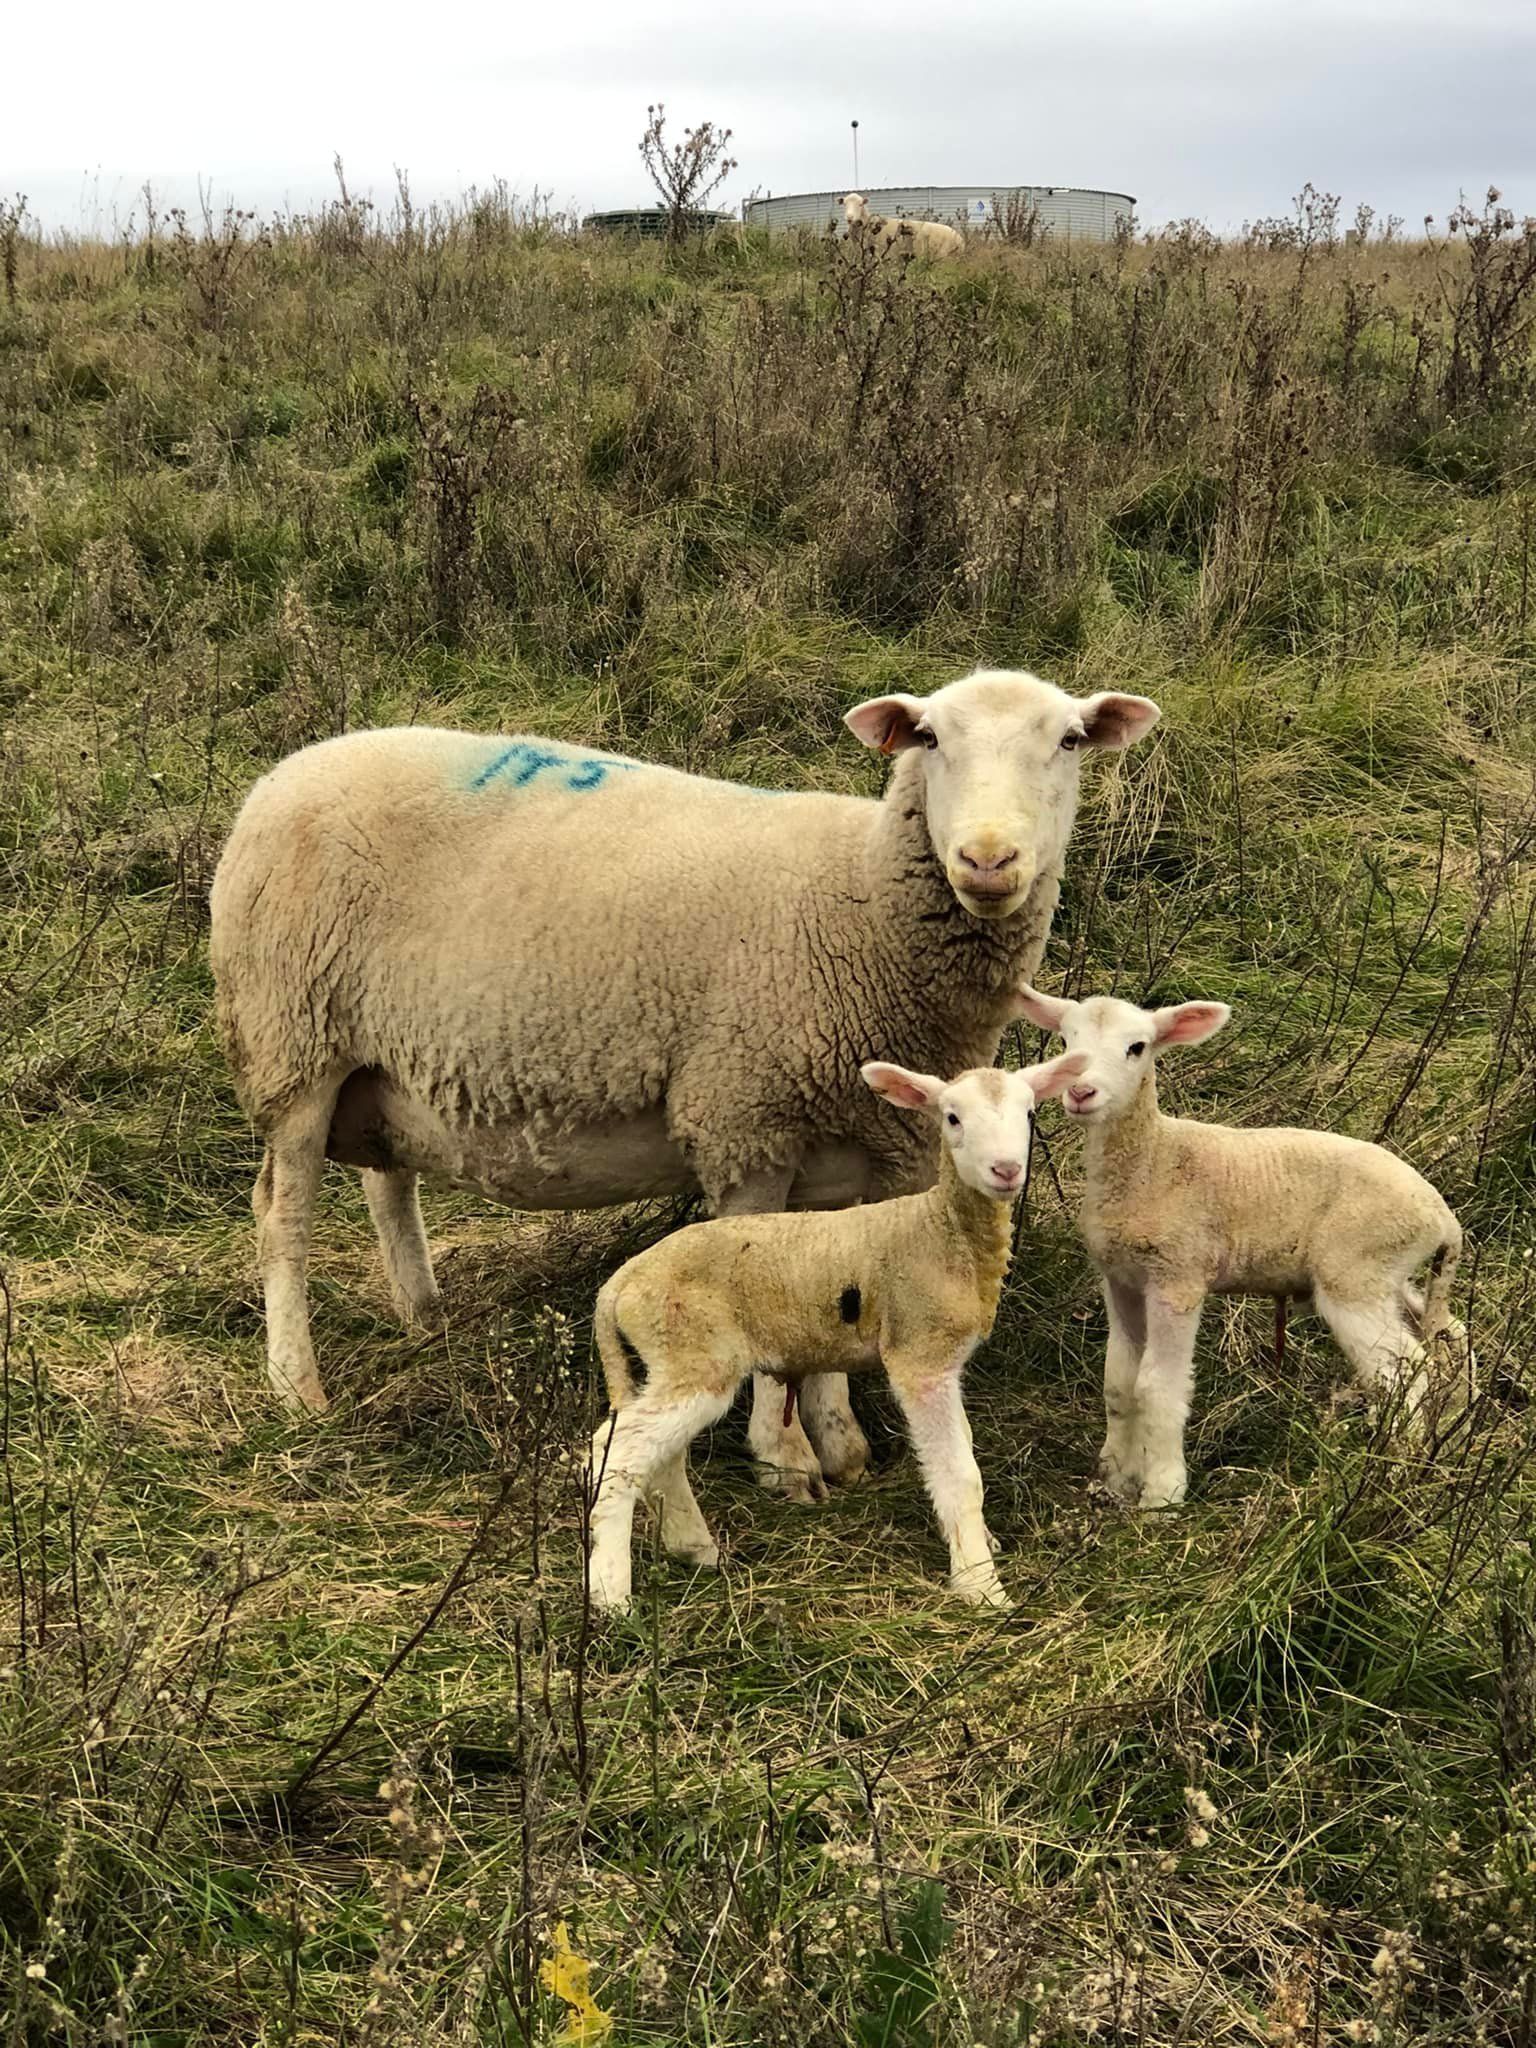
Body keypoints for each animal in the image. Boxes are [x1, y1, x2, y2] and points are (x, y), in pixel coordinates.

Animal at [209, 667, 1160, 1496]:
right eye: (928, 737)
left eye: (1069, 740)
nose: (989, 860)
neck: (861, 902)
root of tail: (280, 776)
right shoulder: (747, 1117)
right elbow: (756, 1275)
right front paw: (783, 1458)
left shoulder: (852, 1137)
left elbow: (833, 1283)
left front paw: (839, 1444)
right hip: (291, 1040)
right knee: (281, 1213)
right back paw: (297, 1387)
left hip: (382, 1063)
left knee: (388, 1183)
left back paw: (423, 1315)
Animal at [586, 1048, 1089, 1612]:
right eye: (952, 1118)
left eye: (1030, 1113)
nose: (1006, 1170)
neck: (940, 1227)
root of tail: (620, 1285)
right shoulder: (920, 1354)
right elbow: (960, 1474)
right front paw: (980, 1586)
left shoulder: (946, 1359)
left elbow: (962, 1450)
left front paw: (980, 1543)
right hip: (692, 1351)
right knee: (616, 1453)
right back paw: (610, 1595)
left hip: (673, 1361)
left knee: (658, 1452)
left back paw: (696, 1549)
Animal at [1014, 986, 1469, 1510]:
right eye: (1066, 1041)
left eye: (1137, 1047)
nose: (1080, 1093)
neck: (1153, 1159)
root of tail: (1443, 1217)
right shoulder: (1121, 1278)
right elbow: (1119, 1380)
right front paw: (1113, 1479)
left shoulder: (1178, 1276)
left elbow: (1157, 1386)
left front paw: (1162, 1495)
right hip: (1390, 1273)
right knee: (1450, 1336)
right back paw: (1450, 1430)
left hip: (1354, 1273)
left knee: (1406, 1369)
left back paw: (1397, 1469)